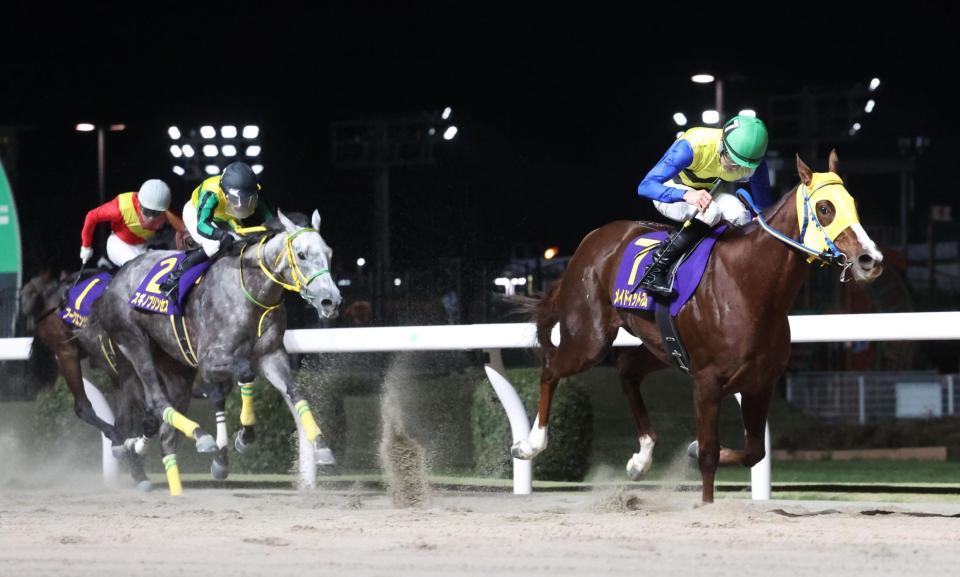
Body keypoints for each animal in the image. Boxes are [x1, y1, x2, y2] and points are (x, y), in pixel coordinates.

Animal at [90, 209, 344, 492]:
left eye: (329, 252)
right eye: (301, 254)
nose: (330, 301)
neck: (252, 289)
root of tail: (113, 282)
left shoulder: (271, 355)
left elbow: (296, 393)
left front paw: (321, 447)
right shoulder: (210, 360)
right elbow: (245, 373)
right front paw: (244, 438)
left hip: (176, 371)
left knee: (166, 432)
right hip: (133, 341)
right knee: (156, 400)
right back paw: (198, 436)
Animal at [512, 152, 880, 500]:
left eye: (855, 205)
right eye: (824, 208)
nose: (870, 259)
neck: (748, 285)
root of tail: (591, 239)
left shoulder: (759, 383)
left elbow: (753, 452)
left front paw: (689, 451)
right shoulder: (707, 383)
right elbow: (708, 456)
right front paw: (704, 500)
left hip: (660, 346)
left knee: (627, 368)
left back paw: (641, 459)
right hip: (589, 339)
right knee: (550, 369)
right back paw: (530, 444)